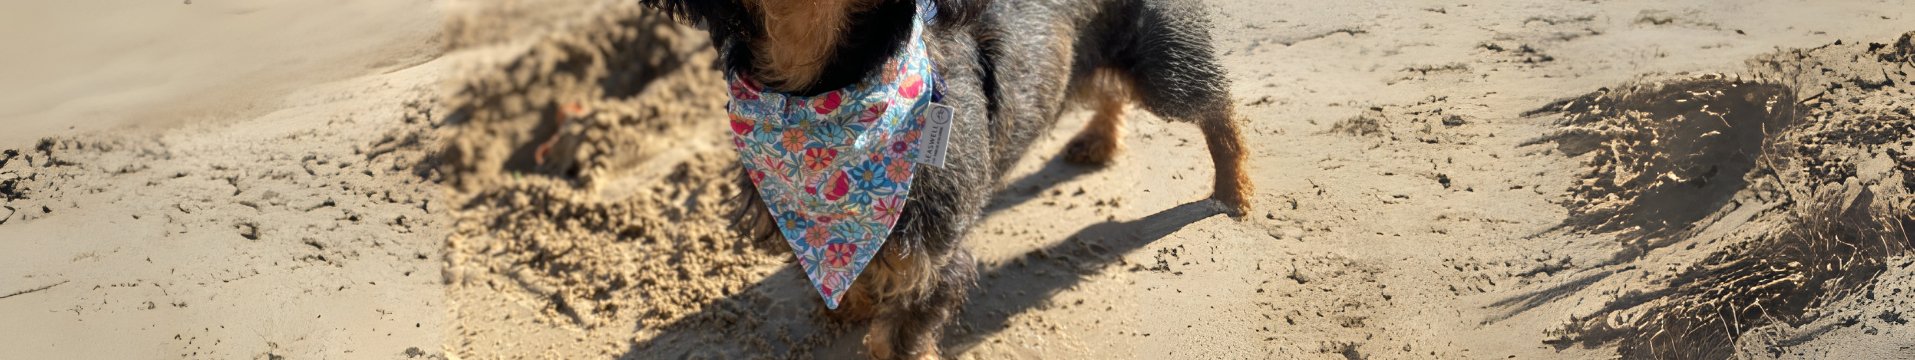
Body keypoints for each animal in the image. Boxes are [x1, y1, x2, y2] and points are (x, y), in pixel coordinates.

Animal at [635, 0, 1248, 358]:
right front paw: (850, 305)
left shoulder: (929, 255)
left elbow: (901, 334)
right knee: (1106, 85)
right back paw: (1100, 138)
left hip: (1163, 62)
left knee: (1215, 107)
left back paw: (1234, 188)